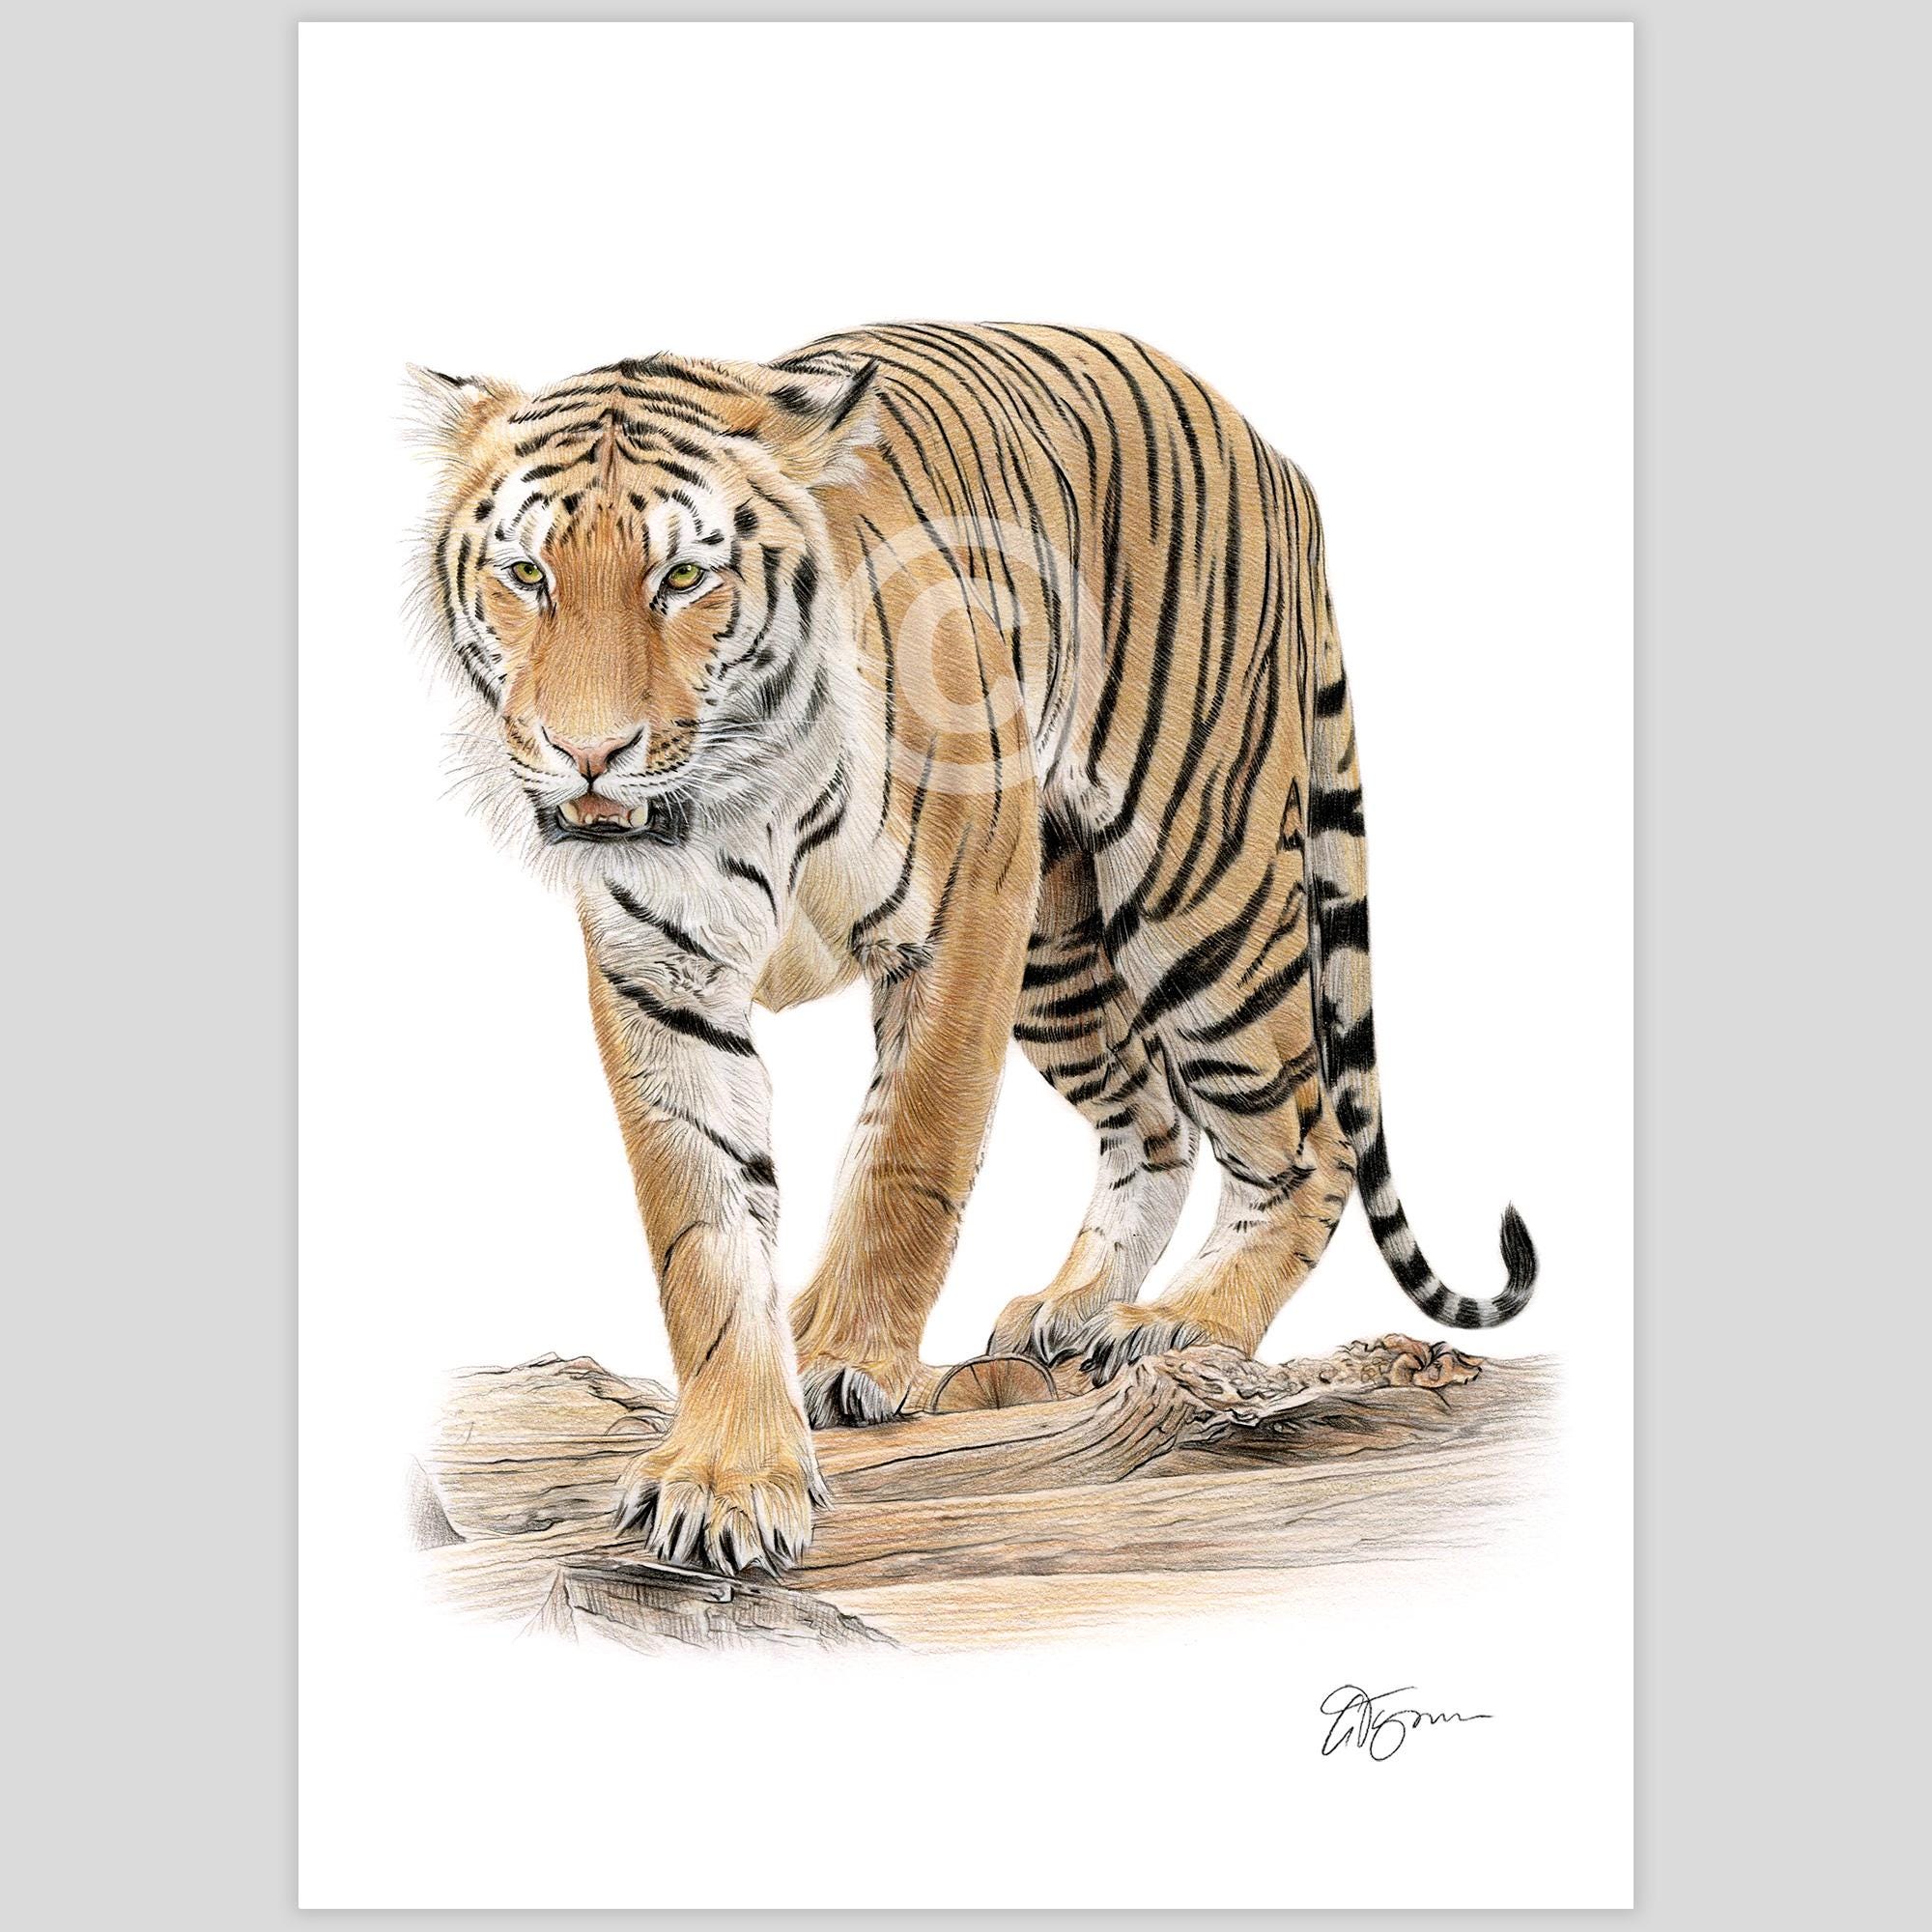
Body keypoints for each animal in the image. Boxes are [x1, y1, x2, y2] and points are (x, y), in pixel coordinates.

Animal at [410, 322, 1537, 1574]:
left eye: (684, 578)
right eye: (527, 576)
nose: (587, 754)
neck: (732, 795)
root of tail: (1266, 449)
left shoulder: (961, 925)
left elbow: (910, 1154)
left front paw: (849, 1361)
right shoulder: (660, 978)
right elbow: (702, 1234)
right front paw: (727, 1470)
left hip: (1198, 889)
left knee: (1304, 1136)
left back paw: (1183, 1322)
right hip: (1059, 949)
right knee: (1152, 1118)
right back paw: (1067, 1306)